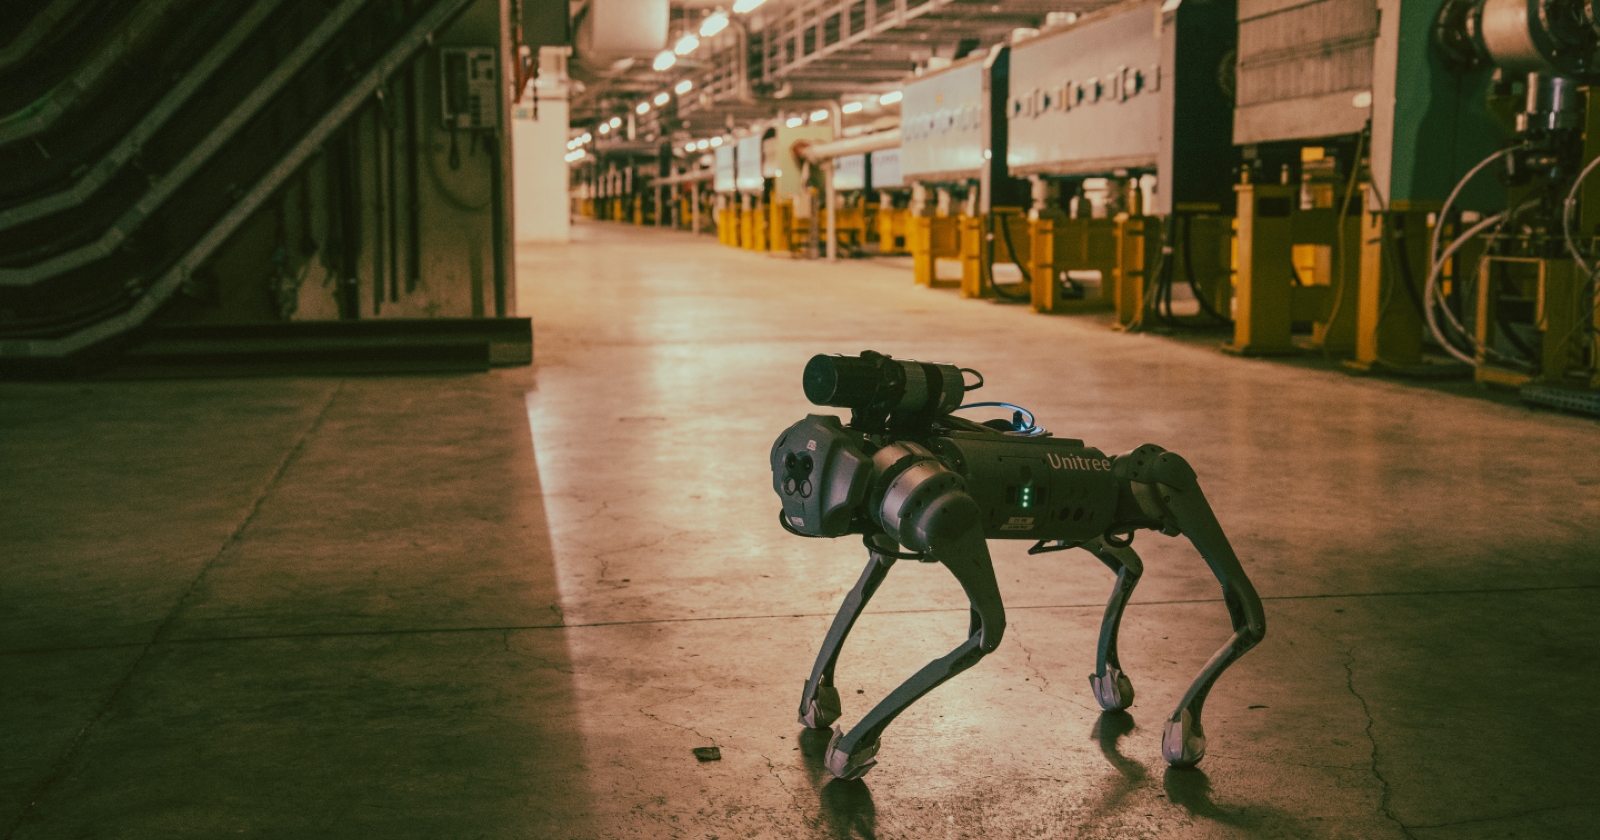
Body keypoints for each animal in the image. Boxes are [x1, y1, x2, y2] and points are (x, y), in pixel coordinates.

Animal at [768, 352, 1267, 780]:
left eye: (807, 465)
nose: (797, 477)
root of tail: (1109, 466)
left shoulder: (947, 514)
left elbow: (988, 631)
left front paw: (852, 747)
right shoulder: (896, 536)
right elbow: (861, 599)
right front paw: (816, 701)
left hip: (1156, 482)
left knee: (1243, 603)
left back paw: (1183, 721)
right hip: (1094, 524)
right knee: (1132, 562)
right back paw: (1112, 679)